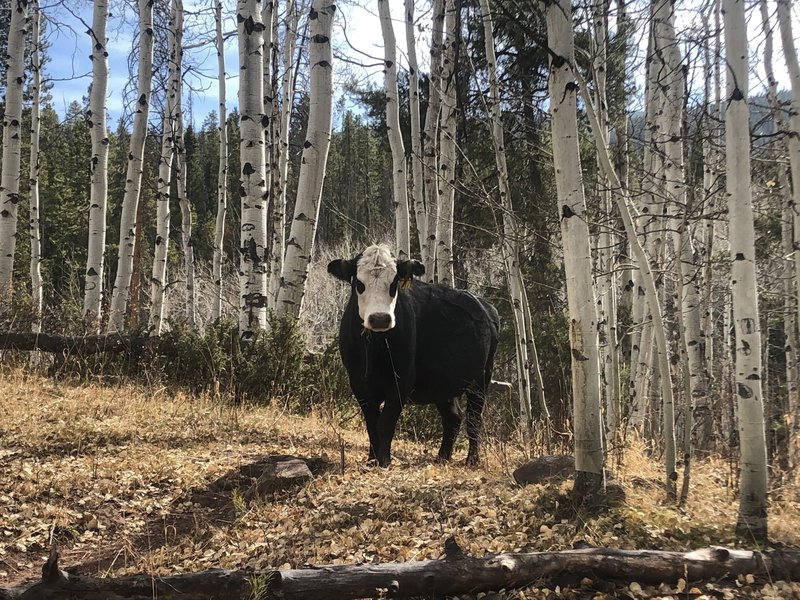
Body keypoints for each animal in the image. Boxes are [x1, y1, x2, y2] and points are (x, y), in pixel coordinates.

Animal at [328, 244, 496, 468]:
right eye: (359, 284)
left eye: (394, 283)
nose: (380, 318)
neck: (376, 347)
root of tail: (486, 306)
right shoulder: (357, 381)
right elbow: (371, 423)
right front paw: (372, 459)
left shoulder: (402, 379)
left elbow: (385, 422)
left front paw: (384, 461)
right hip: (443, 383)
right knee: (453, 417)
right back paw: (442, 457)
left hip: (481, 378)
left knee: (474, 418)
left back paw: (472, 460)